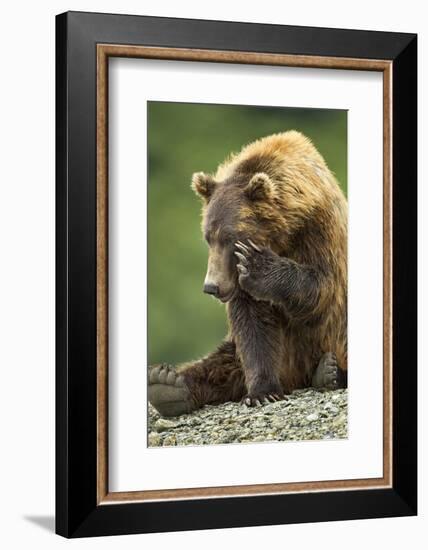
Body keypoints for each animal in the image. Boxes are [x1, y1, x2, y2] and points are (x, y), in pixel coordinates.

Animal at [149, 133, 346, 418]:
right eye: (208, 237)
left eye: (231, 238)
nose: (211, 286)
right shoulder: (237, 283)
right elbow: (253, 325)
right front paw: (262, 392)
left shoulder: (320, 232)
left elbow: (322, 286)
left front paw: (258, 264)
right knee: (224, 360)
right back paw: (167, 384)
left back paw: (329, 372)